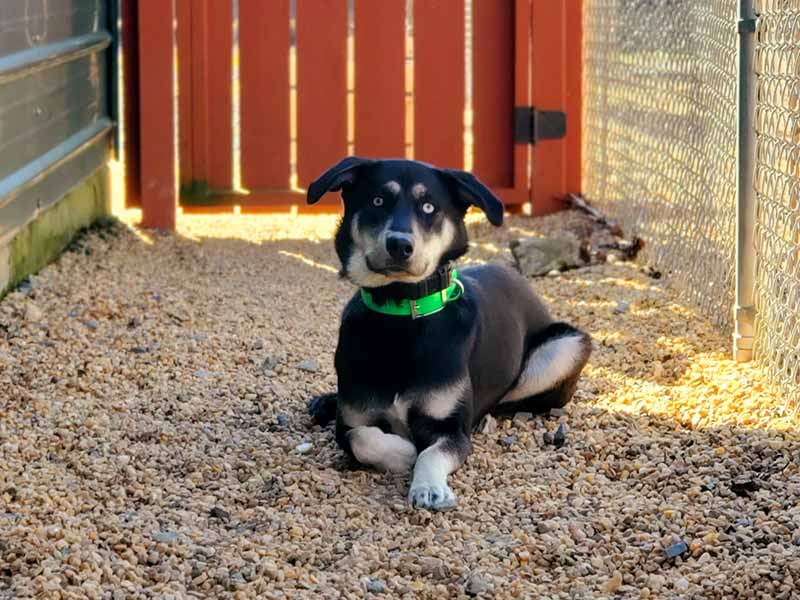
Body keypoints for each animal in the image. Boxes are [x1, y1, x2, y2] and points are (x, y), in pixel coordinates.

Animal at [306, 157, 592, 508]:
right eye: (378, 201)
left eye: (430, 207)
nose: (399, 245)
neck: (402, 313)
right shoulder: (349, 424)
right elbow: (363, 438)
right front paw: (404, 452)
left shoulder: (452, 432)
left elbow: (431, 453)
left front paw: (428, 486)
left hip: (567, 348)